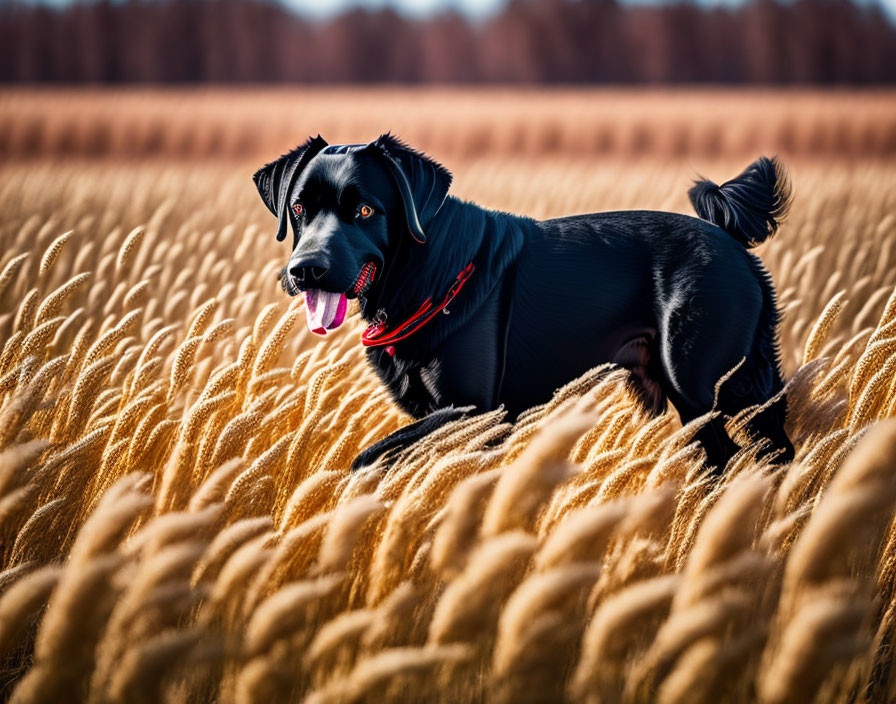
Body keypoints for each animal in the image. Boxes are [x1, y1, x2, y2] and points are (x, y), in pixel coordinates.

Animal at [256, 134, 796, 470]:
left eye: (366, 210)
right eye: (299, 208)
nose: (305, 270)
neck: (421, 273)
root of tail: (731, 241)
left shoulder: (476, 409)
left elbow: (369, 457)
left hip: (702, 382)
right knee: (766, 450)